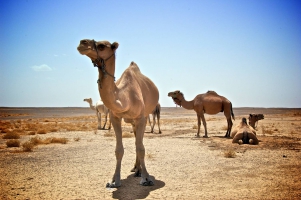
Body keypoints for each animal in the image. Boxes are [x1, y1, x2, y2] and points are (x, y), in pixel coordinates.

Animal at [77, 38, 159, 188]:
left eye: (101, 46)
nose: (82, 43)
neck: (125, 98)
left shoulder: (141, 117)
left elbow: (141, 148)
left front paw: (146, 178)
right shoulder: (115, 117)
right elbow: (119, 150)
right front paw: (114, 180)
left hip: (142, 117)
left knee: (139, 143)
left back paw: (140, 171)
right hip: (132, 122)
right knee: (136, 140)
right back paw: (136, 169)